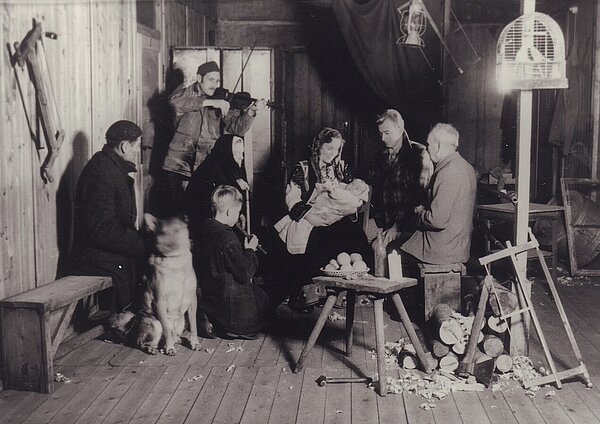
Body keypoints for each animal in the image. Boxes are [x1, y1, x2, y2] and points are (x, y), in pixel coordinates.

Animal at [109, 214, 200, 356]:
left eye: (178, 230)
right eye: (163, 232)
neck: (175, 261)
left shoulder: (192, 299)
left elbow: (194, 326)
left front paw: (195, 343)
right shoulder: (159, 301)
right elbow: (167, 331)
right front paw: (170, 348)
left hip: (181, 322)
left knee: (173, 336)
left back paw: (178, 340)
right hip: (155, 325)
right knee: (142, 342)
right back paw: (153, 348)